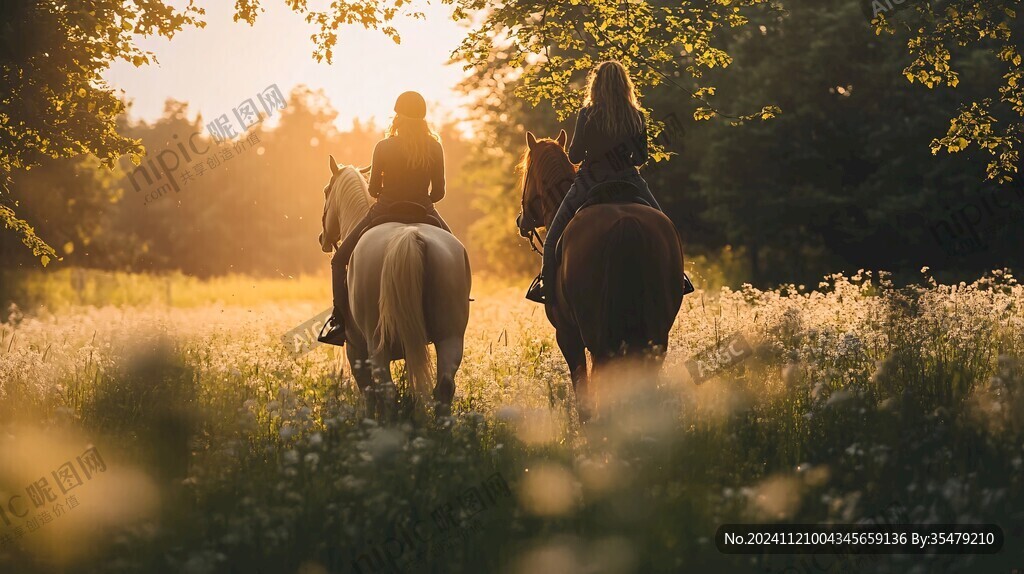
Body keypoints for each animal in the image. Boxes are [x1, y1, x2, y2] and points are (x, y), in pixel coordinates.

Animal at [317, 155, 473, 415]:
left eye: (326, 191)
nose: (323, 239)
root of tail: (410, 236)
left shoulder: (356, 351)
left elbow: (369, 394)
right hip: (450, 336)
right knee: (444, 387)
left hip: (376, 344)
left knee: (386, 391)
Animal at [516, 128, 684, 415]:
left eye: (525, 172)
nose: (521, 221)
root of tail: (626, 221)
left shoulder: (567, 335)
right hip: (657, 334)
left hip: (597, 335)